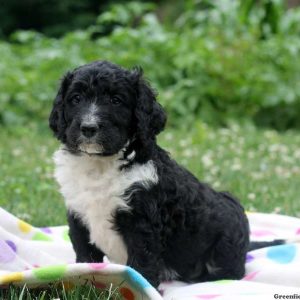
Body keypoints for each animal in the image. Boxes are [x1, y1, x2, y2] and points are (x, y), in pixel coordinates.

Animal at [48, 60, 282, 286]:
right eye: (76, 99)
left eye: (116, 100)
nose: (89, 127)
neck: (99, 164)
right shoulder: (78, 216)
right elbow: (86, 258)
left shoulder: (142, 222)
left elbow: (141, 264)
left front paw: (141, 286)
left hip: (225, 245)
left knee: (230, 272)